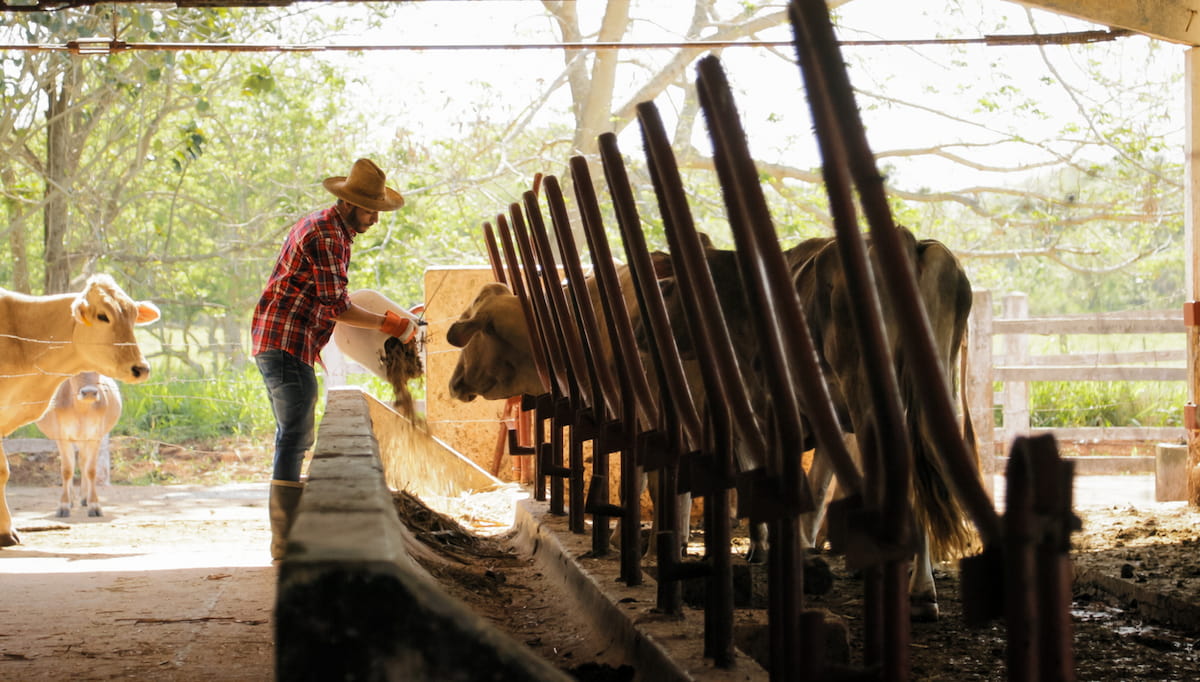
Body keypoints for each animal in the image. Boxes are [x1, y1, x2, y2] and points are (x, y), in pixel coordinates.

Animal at [36, 372, 123, 516]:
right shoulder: (62, 437)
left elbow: (91, 470)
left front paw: (94, 505)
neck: (81, 410)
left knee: (82, 463)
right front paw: (64, 506)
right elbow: (67, 470)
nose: (89, 392)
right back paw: (71, 499)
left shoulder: (95, 437)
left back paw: (84, 497)